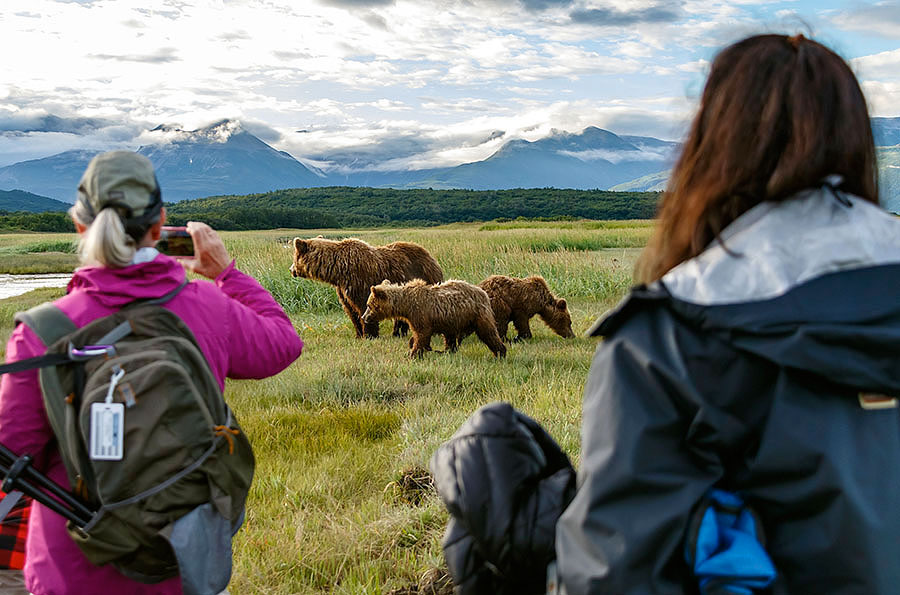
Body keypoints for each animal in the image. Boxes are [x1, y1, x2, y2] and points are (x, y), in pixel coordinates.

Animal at [292, 239, 442, 340]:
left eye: (295, 257)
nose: (291, 269)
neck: (338, 271)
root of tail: (432, 259)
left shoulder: (359, 280)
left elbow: (364, 306)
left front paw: (369, 334)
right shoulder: (343, 289)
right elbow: (351, 311)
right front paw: (358, 334)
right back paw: (398, 333)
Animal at [360, 280, 506, 358]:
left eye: (369, 305)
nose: (364, 317)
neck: (406, 305)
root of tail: (484, 293)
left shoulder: (420, 313)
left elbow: (421, 334)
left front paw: (413, 353)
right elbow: (418, 335)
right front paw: (416, 347)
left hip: (477, 315)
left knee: (488, 332)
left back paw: (500, 352)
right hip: (453, 320)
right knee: (450, 337)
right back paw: (447, 351)